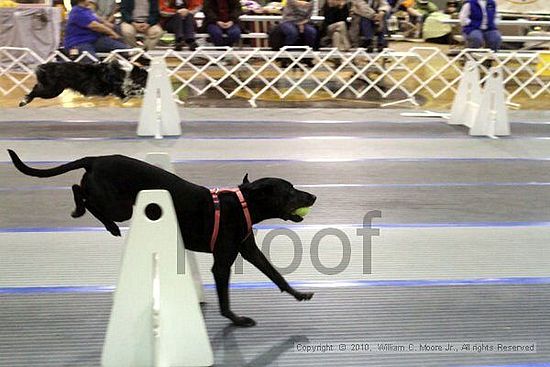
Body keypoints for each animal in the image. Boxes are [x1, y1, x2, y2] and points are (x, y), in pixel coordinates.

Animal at [7, 150, 320, 328]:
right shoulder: (221, 264)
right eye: (290, 191)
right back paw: (93, 217)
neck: (243, 203)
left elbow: (276, 275)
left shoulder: (249, 251)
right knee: (80, 191)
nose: (313, 196)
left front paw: (299, 294)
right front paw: (237, 320)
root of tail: (94, 160)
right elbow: (225, 299)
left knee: (79, 189)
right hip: (118, 206)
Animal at [19, 61, 149, 107]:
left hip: (53, 89)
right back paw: (23, 102)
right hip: (52, 90)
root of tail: (45, 66)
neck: (129, 73)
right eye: (147, 79)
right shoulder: (119, 89)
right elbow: (132, 93)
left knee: (36, 88)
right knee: (35, 90)